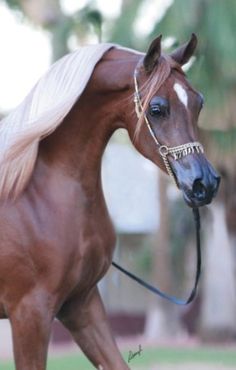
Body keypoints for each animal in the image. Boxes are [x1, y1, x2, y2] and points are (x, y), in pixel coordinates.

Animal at [0, 35, 219, 370]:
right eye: (157, 108)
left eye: (199, 103)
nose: (204, 183)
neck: (32, 193)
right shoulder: (29, 313)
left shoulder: (81, 303)